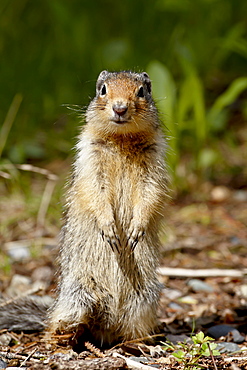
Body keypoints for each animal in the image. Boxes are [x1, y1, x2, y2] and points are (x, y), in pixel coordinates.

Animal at [0, 70, 168, 346]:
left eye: (142, 91)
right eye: (103, 89)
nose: (120, 108)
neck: (121, 139)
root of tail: (106, 325)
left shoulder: (154, 164)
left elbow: (149, 195)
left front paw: (136, 229)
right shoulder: (90, 161)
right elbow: (95, 193)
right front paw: (109, 228)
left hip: (142, 301)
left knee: (131, 330)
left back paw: (139, 344)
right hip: (76, 298)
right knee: (55, 326)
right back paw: (64, 339)